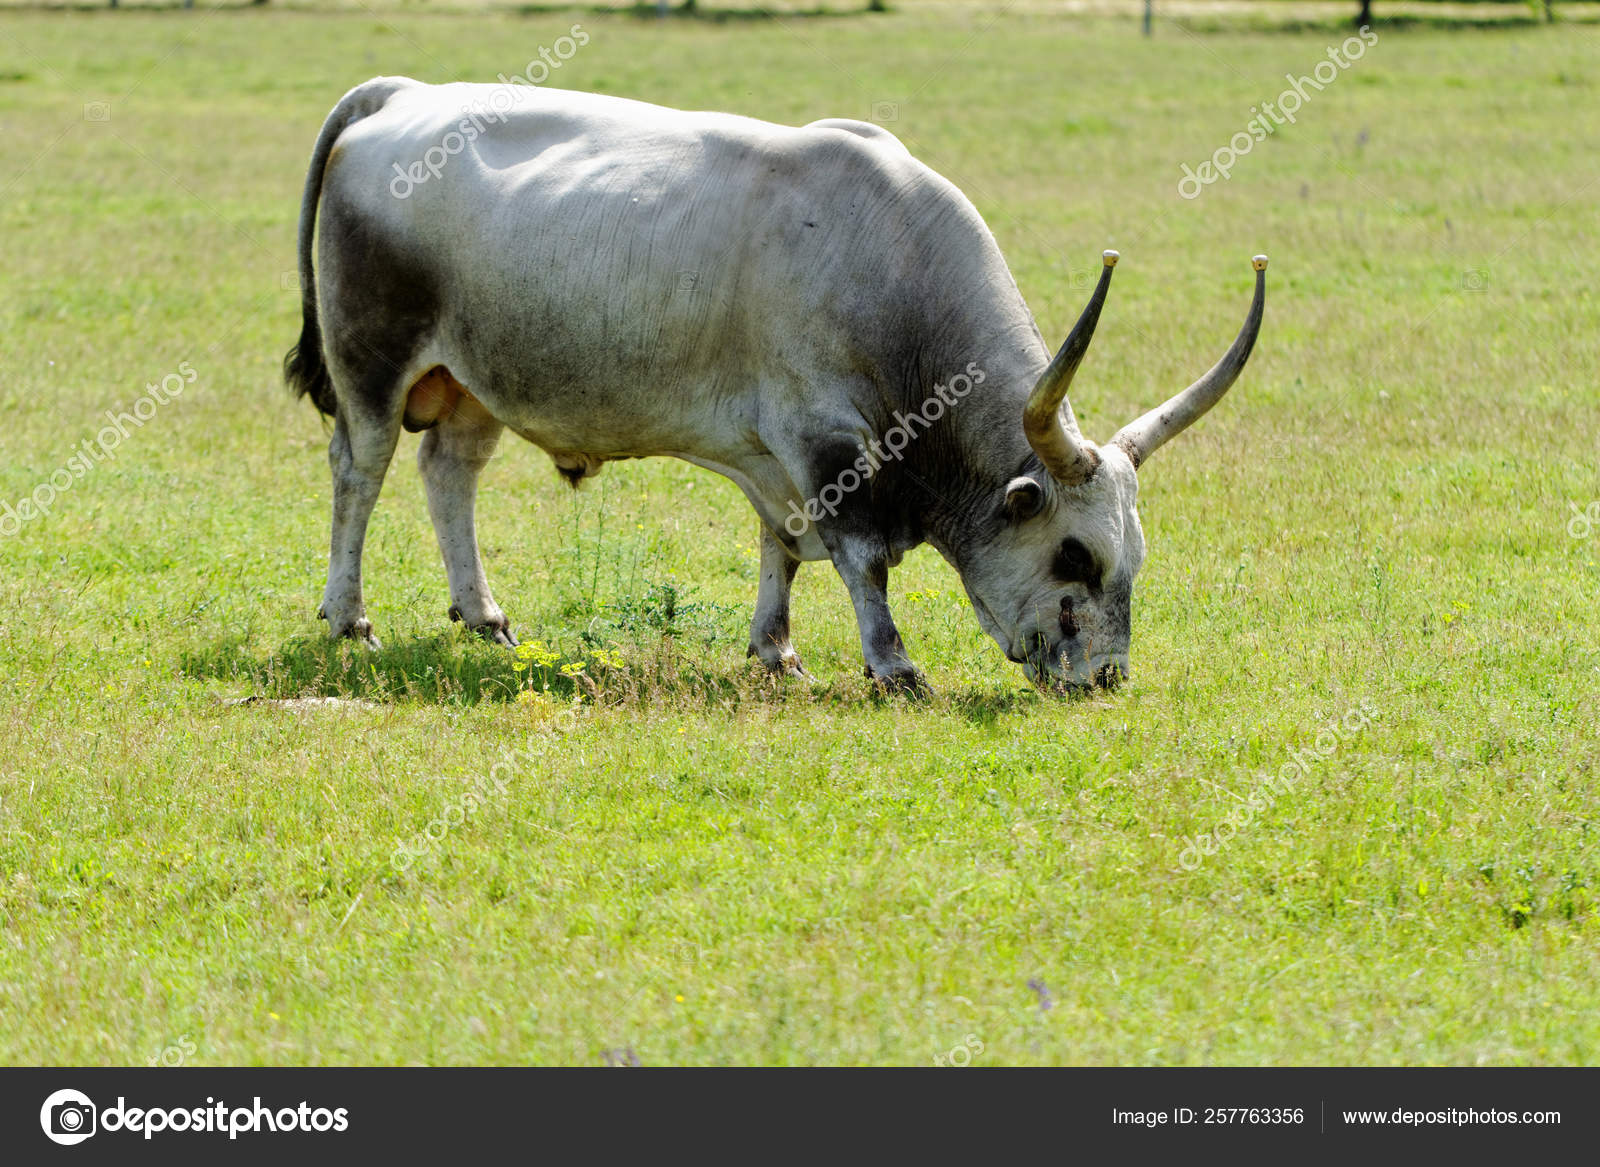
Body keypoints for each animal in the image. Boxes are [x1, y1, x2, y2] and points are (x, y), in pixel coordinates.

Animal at [285, 77, 1267, 694]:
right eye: (1074, 556)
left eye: (1131, 560)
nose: (1107, 678)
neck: (894, 265)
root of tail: (404, 95)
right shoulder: (825, 440)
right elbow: (862, 559)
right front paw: (893, 665)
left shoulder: (778, 456)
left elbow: (783, 547)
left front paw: (776, 649)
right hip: (373, 364)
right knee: (358, 473)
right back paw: (348, 616)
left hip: (475, 381)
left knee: (449, 475)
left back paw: (483, 614)